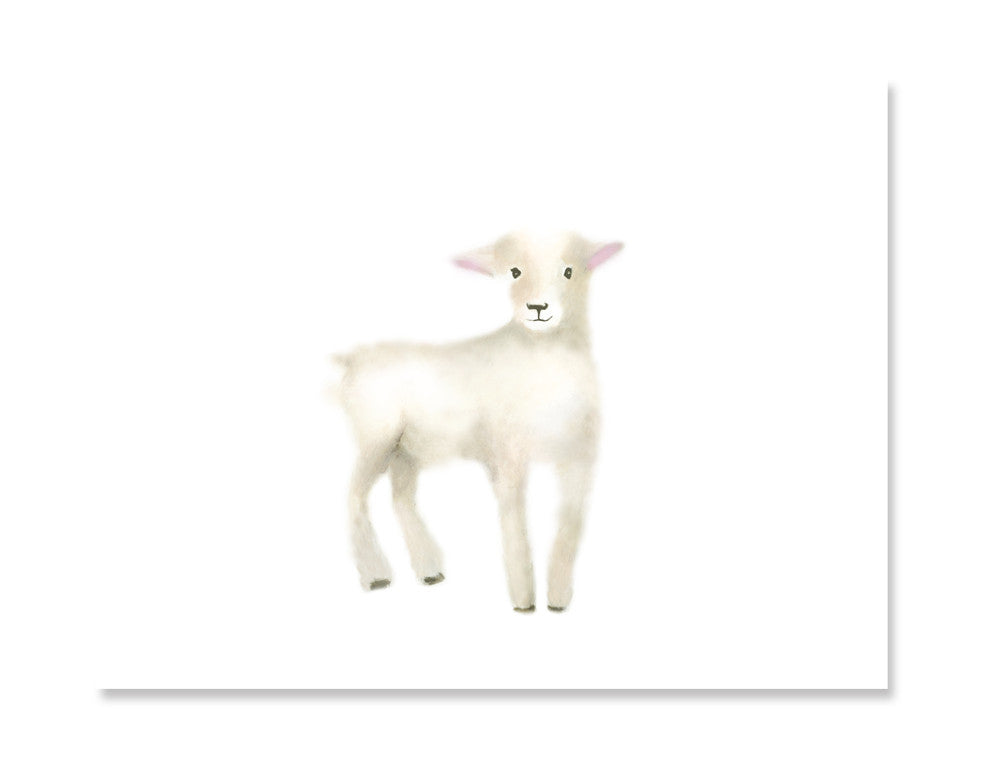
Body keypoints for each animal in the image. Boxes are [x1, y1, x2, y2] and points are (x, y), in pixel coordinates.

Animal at [333, 230, 622, 612]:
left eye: (569, 271)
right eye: (514, 271)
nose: (538, 308)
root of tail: (352, 359)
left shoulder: (579, 459)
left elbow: (570, 528)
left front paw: (558, 600)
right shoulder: (506, 457)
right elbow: (514, 526)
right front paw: (524, 602)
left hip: (406, 448)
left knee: (401, 498)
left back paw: (429, 571)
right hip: (375, 436)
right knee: (353, 496)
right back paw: (376, 575)